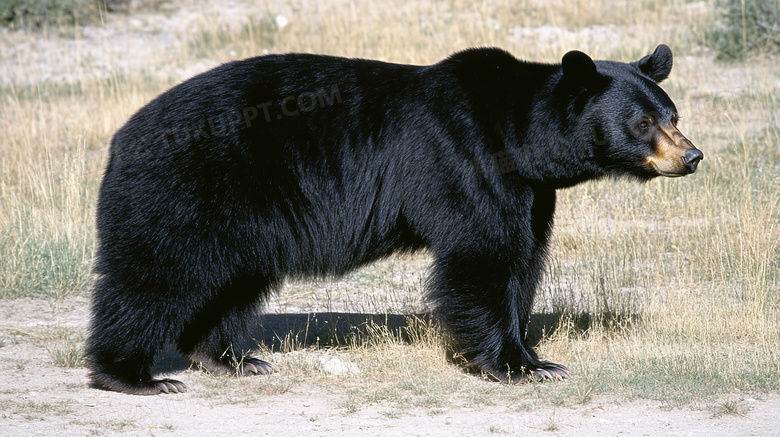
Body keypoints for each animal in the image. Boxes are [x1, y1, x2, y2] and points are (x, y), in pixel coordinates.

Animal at [85, 42, 700, 394]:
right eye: (644, 122)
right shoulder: (465, 160)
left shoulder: (531, 191)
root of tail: (120, 137)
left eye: (673, 114)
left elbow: (525, 258)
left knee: (233, 279)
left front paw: (534, 357)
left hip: (243, 217)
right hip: (189, 188)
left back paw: (232, 359)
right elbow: (483, 257)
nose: (692, 156)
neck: (519, 141)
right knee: (153, 273)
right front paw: (515, 365)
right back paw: (132, 375)